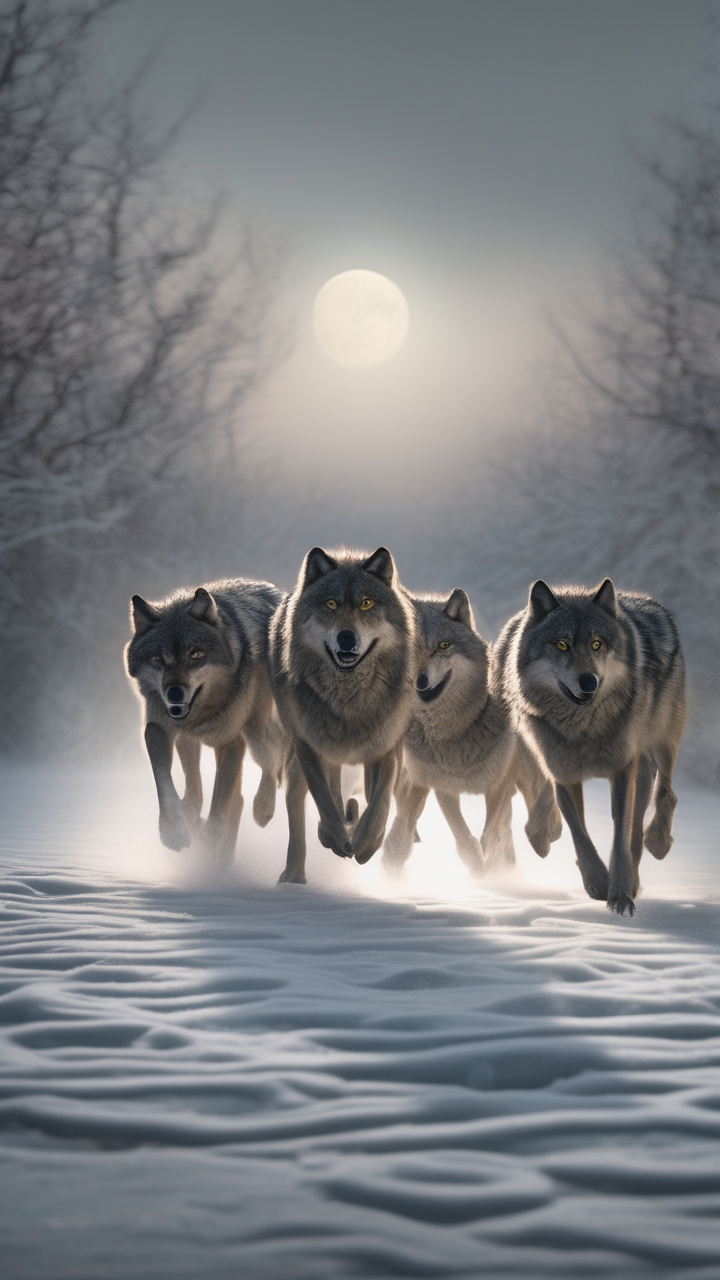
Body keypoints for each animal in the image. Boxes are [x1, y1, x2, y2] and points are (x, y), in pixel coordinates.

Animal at [125, 578, 286, 863]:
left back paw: (262, 809)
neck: (199, 714)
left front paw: (210, 840)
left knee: (273, 759)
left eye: (195, 655)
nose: (174, 693)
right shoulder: (162, 728)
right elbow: (166, 778)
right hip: (197, 742)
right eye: (158, 660)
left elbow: (220, 804)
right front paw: (174, 831)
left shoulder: (231, 742)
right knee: (220, 793)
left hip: (255, 732)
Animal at [268, 546, 419, 883]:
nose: (347, 638)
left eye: (366, 603)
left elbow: (378, 807)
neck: (349, 699)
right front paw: (336, 837)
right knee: (300, 809)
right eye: (331, 603)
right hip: (304, 759)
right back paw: (295, 873)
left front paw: (365, 845)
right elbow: (325, 801)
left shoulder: (387, 748)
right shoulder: (310, 745)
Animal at [383, 589, 561, 872]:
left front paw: (490, 866)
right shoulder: (443, 787)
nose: (420, 680)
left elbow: (491, 833)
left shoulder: (499, 785)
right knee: (404, 817)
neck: (456, 732)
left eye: (444, 646)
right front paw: (478, 866)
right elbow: (463, 837)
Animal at [494, 578, 686, 915]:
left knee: (665, 797)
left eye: (597, 644)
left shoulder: (623, 771)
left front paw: (620, 896)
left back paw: (657, 844)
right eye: (562, 644)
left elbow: (620, 839)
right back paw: (543, 834)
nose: (589, 682)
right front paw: (597, 883)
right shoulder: (564, 774)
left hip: (662, 743)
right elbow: (580, 835)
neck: (584, 728)